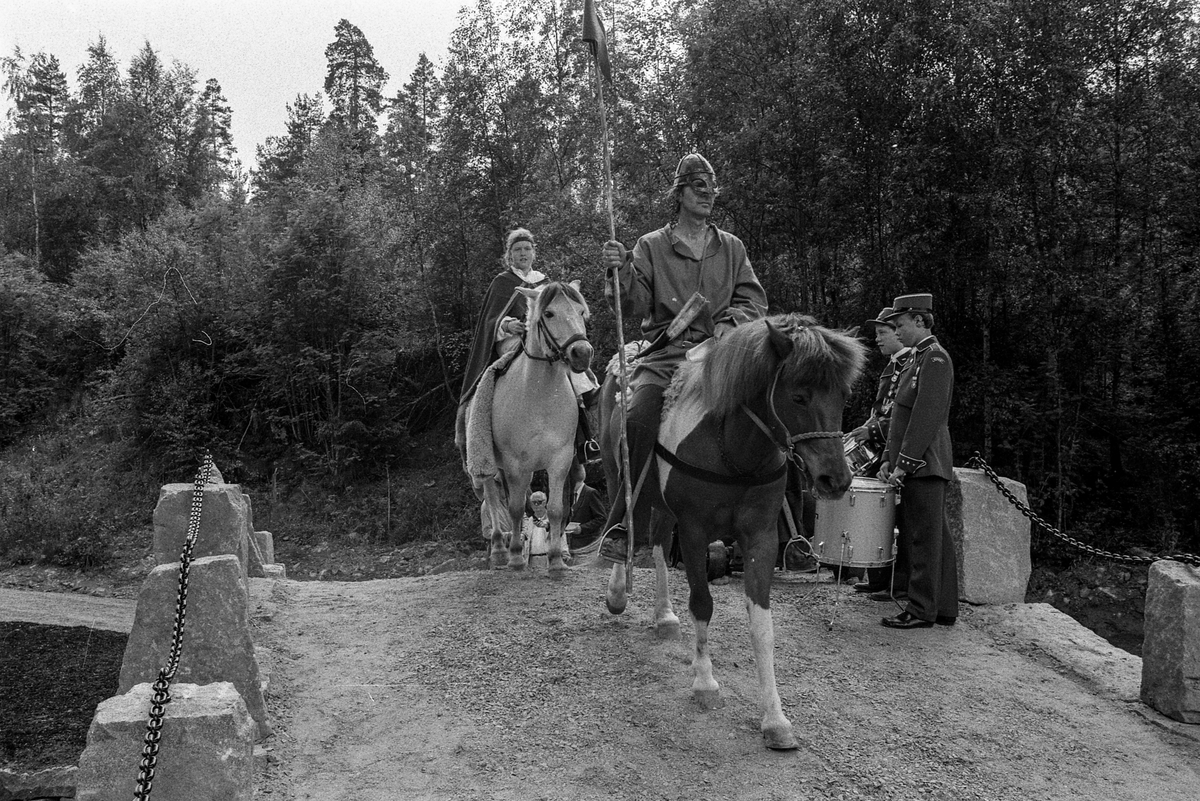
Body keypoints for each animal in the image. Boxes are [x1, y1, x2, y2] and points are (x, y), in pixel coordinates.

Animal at [600, 314, 864, 753]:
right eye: (798, 397)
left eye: (843, 396)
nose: (836, 479)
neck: (733, 450)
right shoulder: (695, 532)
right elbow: (703, 604)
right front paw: (705, 682)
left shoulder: (760, 537)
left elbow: (762, 627)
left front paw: (775, 719)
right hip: (616, 469)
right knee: (627, 516)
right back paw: (619, 586)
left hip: (664, 507)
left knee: (658, 544)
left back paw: (664, 615)